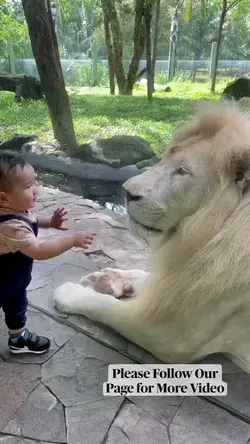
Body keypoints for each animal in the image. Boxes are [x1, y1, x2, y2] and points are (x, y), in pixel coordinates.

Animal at [54, 104, 250, 372]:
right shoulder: (183, 277)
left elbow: (106, 307)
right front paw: (109, 280)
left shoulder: (170, 338)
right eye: (166, 157)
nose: (126, 192)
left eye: (182, 171)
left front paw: (69, 293)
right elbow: (148, 278)